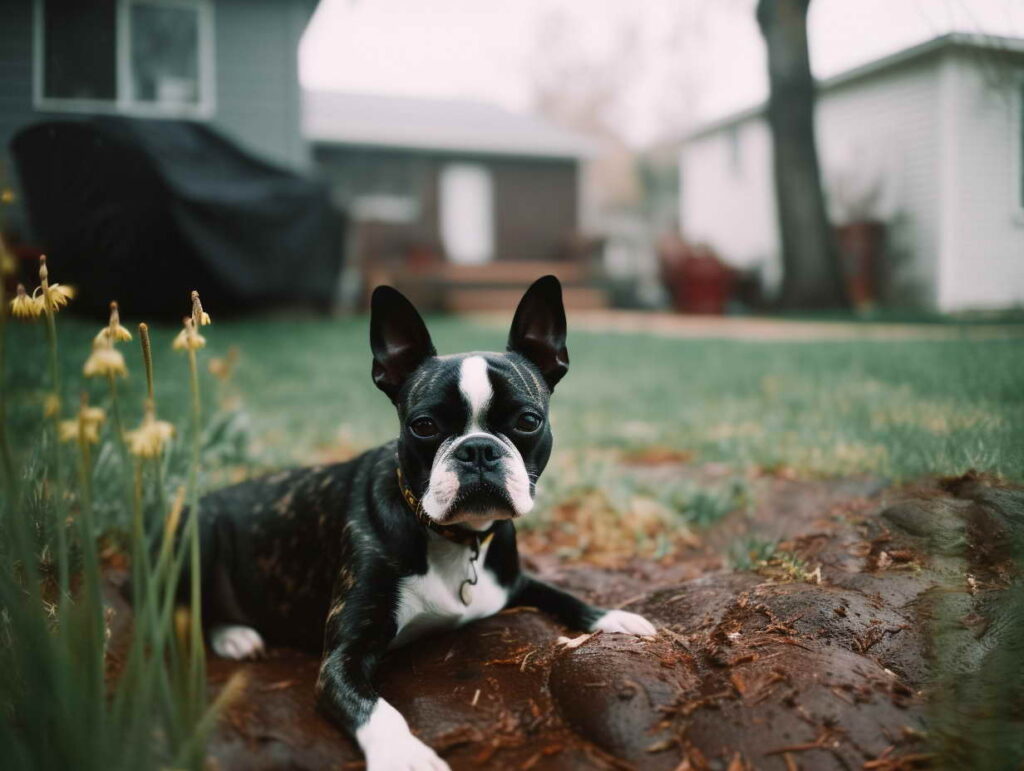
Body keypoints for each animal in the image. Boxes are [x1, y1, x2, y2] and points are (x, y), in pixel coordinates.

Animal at [190, 278, 655, 769]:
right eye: (424, 426)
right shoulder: (342, 659)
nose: (477, 449)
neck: (456, 538)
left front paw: (615, 617)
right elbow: (377, 709)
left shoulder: (513, 580)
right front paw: (403, 753)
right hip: (199, 534)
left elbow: (562, 594)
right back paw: (235, 635)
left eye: (528, 421)